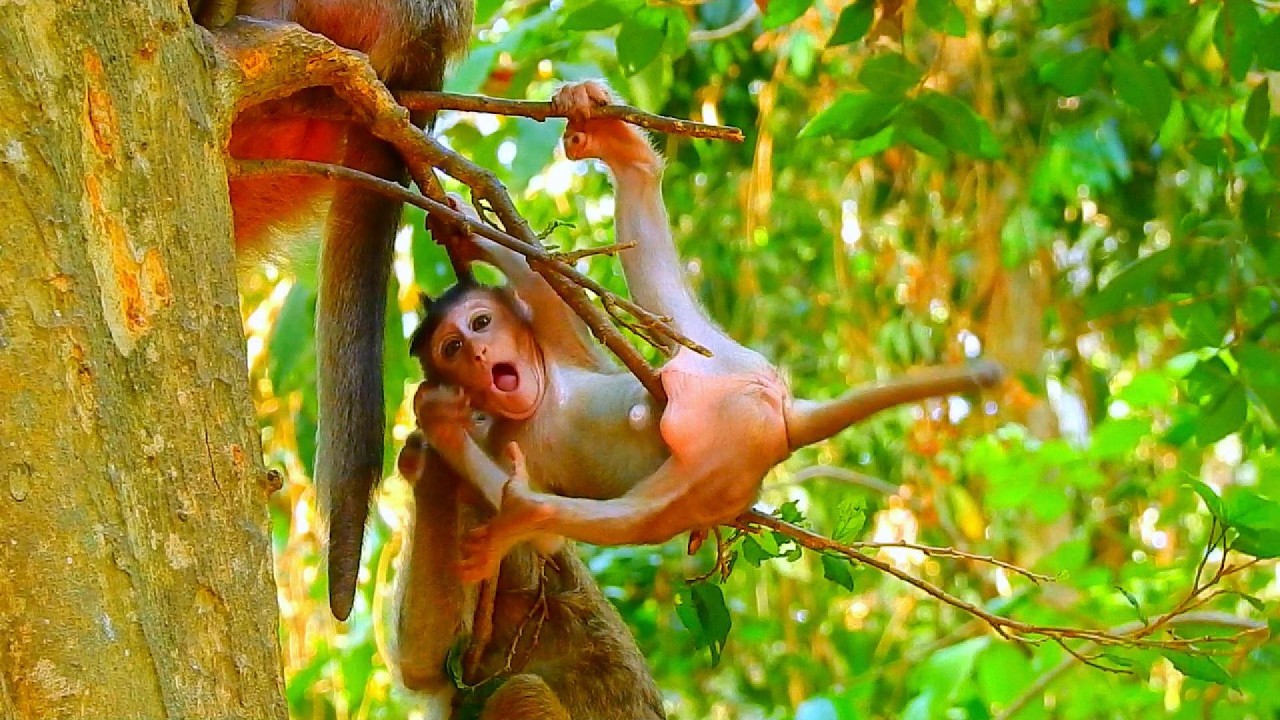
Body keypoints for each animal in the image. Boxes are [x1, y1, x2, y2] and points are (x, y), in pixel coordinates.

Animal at [407, 80, 1005, 584]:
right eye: (453, 348)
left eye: (482, 323)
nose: (480, 355)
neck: (537, 399)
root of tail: (779, 408)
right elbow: (551, 544)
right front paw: (437, 414)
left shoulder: (557, 343)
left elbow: (539, 277)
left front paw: (463, 227)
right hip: (731, 450)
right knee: (645, 513)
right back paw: (526, 512)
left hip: (720, 385)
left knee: (643, 508)